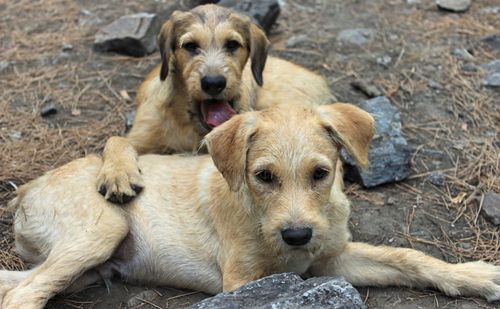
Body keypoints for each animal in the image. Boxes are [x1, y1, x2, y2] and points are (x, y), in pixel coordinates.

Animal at [0, 103, 500, 308]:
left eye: (321, 173)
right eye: (263, 177)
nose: (297, 235)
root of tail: (26, 188)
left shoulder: (334, 257)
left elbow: (408, 257)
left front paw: (474, 276)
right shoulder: (241, 280)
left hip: (84, 267)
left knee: (20, 286)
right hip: (103, 228)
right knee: (23, 295)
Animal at [95, 3, 334, 203]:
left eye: (232, 44)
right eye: (190, 46)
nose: (213, 83)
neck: (189, 124)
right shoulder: (142, 134)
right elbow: (116, 140)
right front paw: (118, 174)